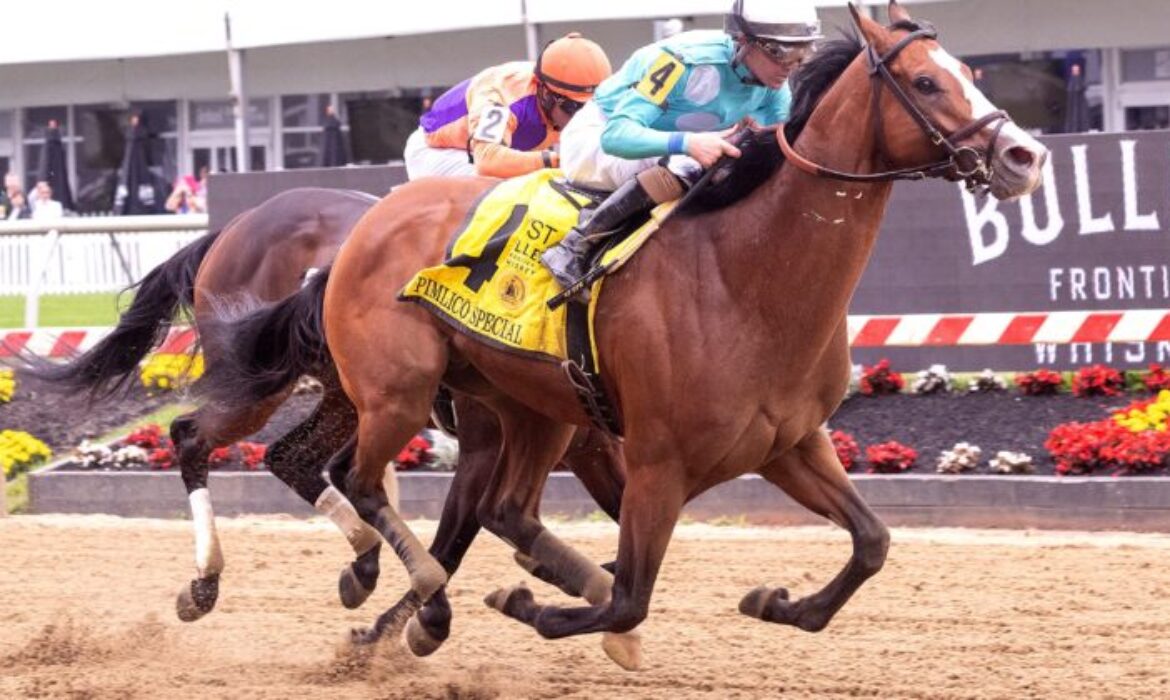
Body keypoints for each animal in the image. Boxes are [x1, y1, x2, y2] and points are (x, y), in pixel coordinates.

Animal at [34, 183, 622, 632]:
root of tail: (234, 226)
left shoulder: (597, 443)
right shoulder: (487, 443)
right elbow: (453, 540)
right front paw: (413, 625)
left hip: (342, 394)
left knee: (290, 457)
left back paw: (361, 559)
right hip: (262, 381)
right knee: (193, 436)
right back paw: (205, 581)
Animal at [201, 0, 1053, 674]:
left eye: (967, 69)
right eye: (926, 83)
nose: (1026, 155)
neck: (744, 280)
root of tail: (363, 229)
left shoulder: (790, 444)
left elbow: (872, 542)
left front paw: (775, 601)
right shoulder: (655, 463)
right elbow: (630, 599)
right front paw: (527, 605)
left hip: (530, 407)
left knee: (498, 507)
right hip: (397, 392)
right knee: (359, 478)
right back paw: (405, 597)